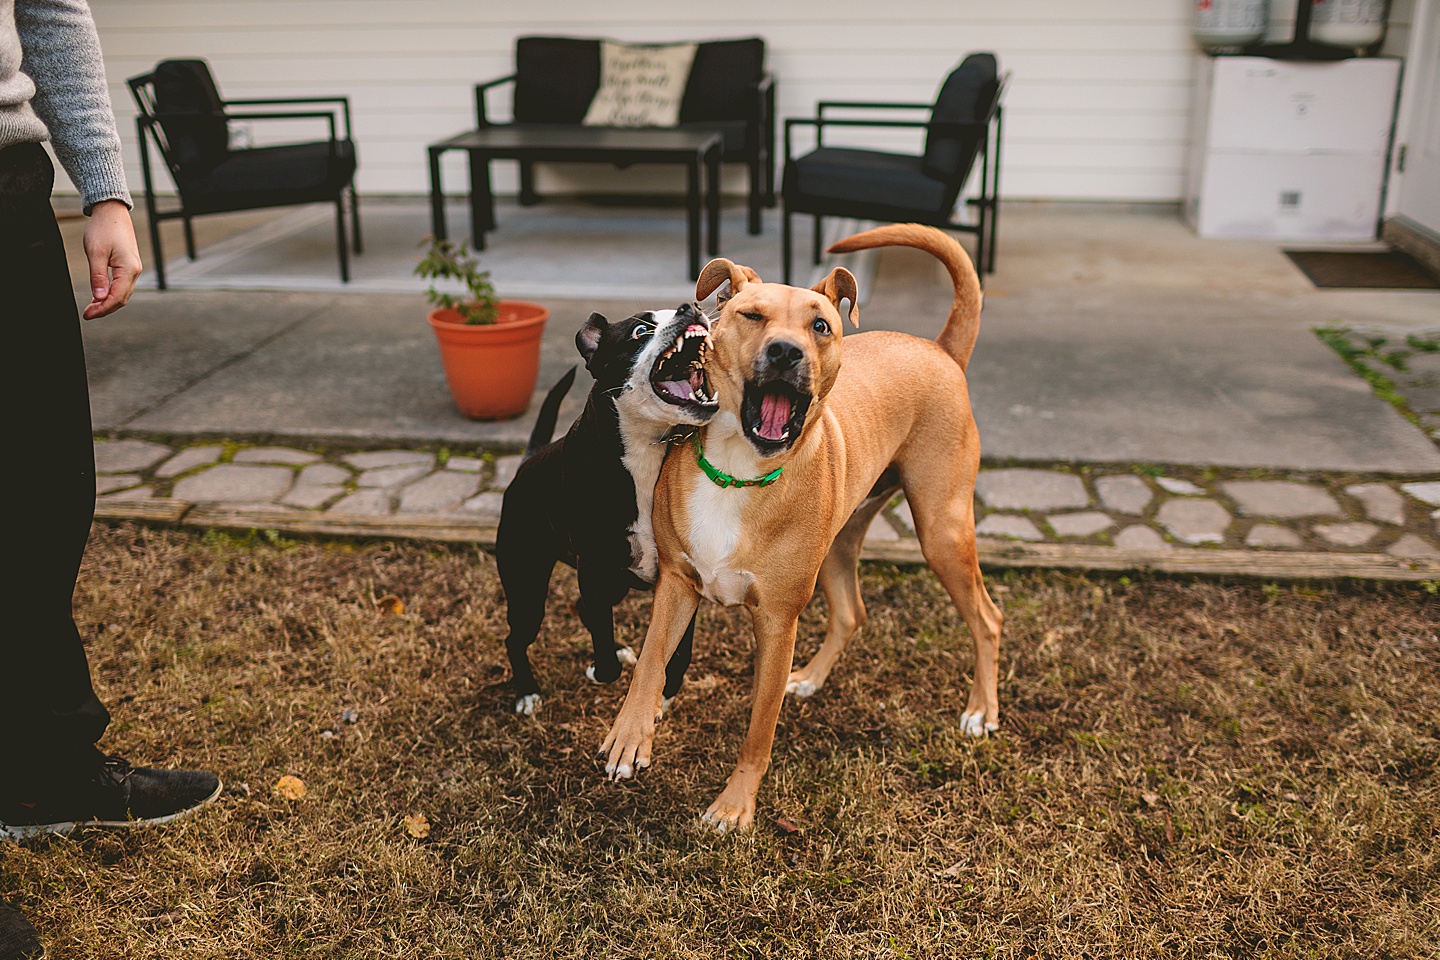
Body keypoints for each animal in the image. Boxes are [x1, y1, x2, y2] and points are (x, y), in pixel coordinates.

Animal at [495, 303, 720, 716]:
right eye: (640, 331)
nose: (691, 307)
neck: (645, 455)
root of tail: (528, 461)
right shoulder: (595, 571)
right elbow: (608, 660)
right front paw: (600, 670)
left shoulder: (682, 578)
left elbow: (680, 651)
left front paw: (664, 693)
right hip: (528, 587)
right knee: (516, 639)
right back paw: (527, 692)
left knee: (583, 611)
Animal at [596, 221, 1002, 829]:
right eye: (751, 315)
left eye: (820, 326)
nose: (786, 352)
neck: (737, 475)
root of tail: (939, 349)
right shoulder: (677, 584)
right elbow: (648, 664)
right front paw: (630, 734)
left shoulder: (777, 623)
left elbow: (758, 732)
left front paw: (735, 806)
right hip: (840, 542)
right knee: (852, 612)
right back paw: (811, 677)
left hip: (942, 532)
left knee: (988, 618)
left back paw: (981, 710)